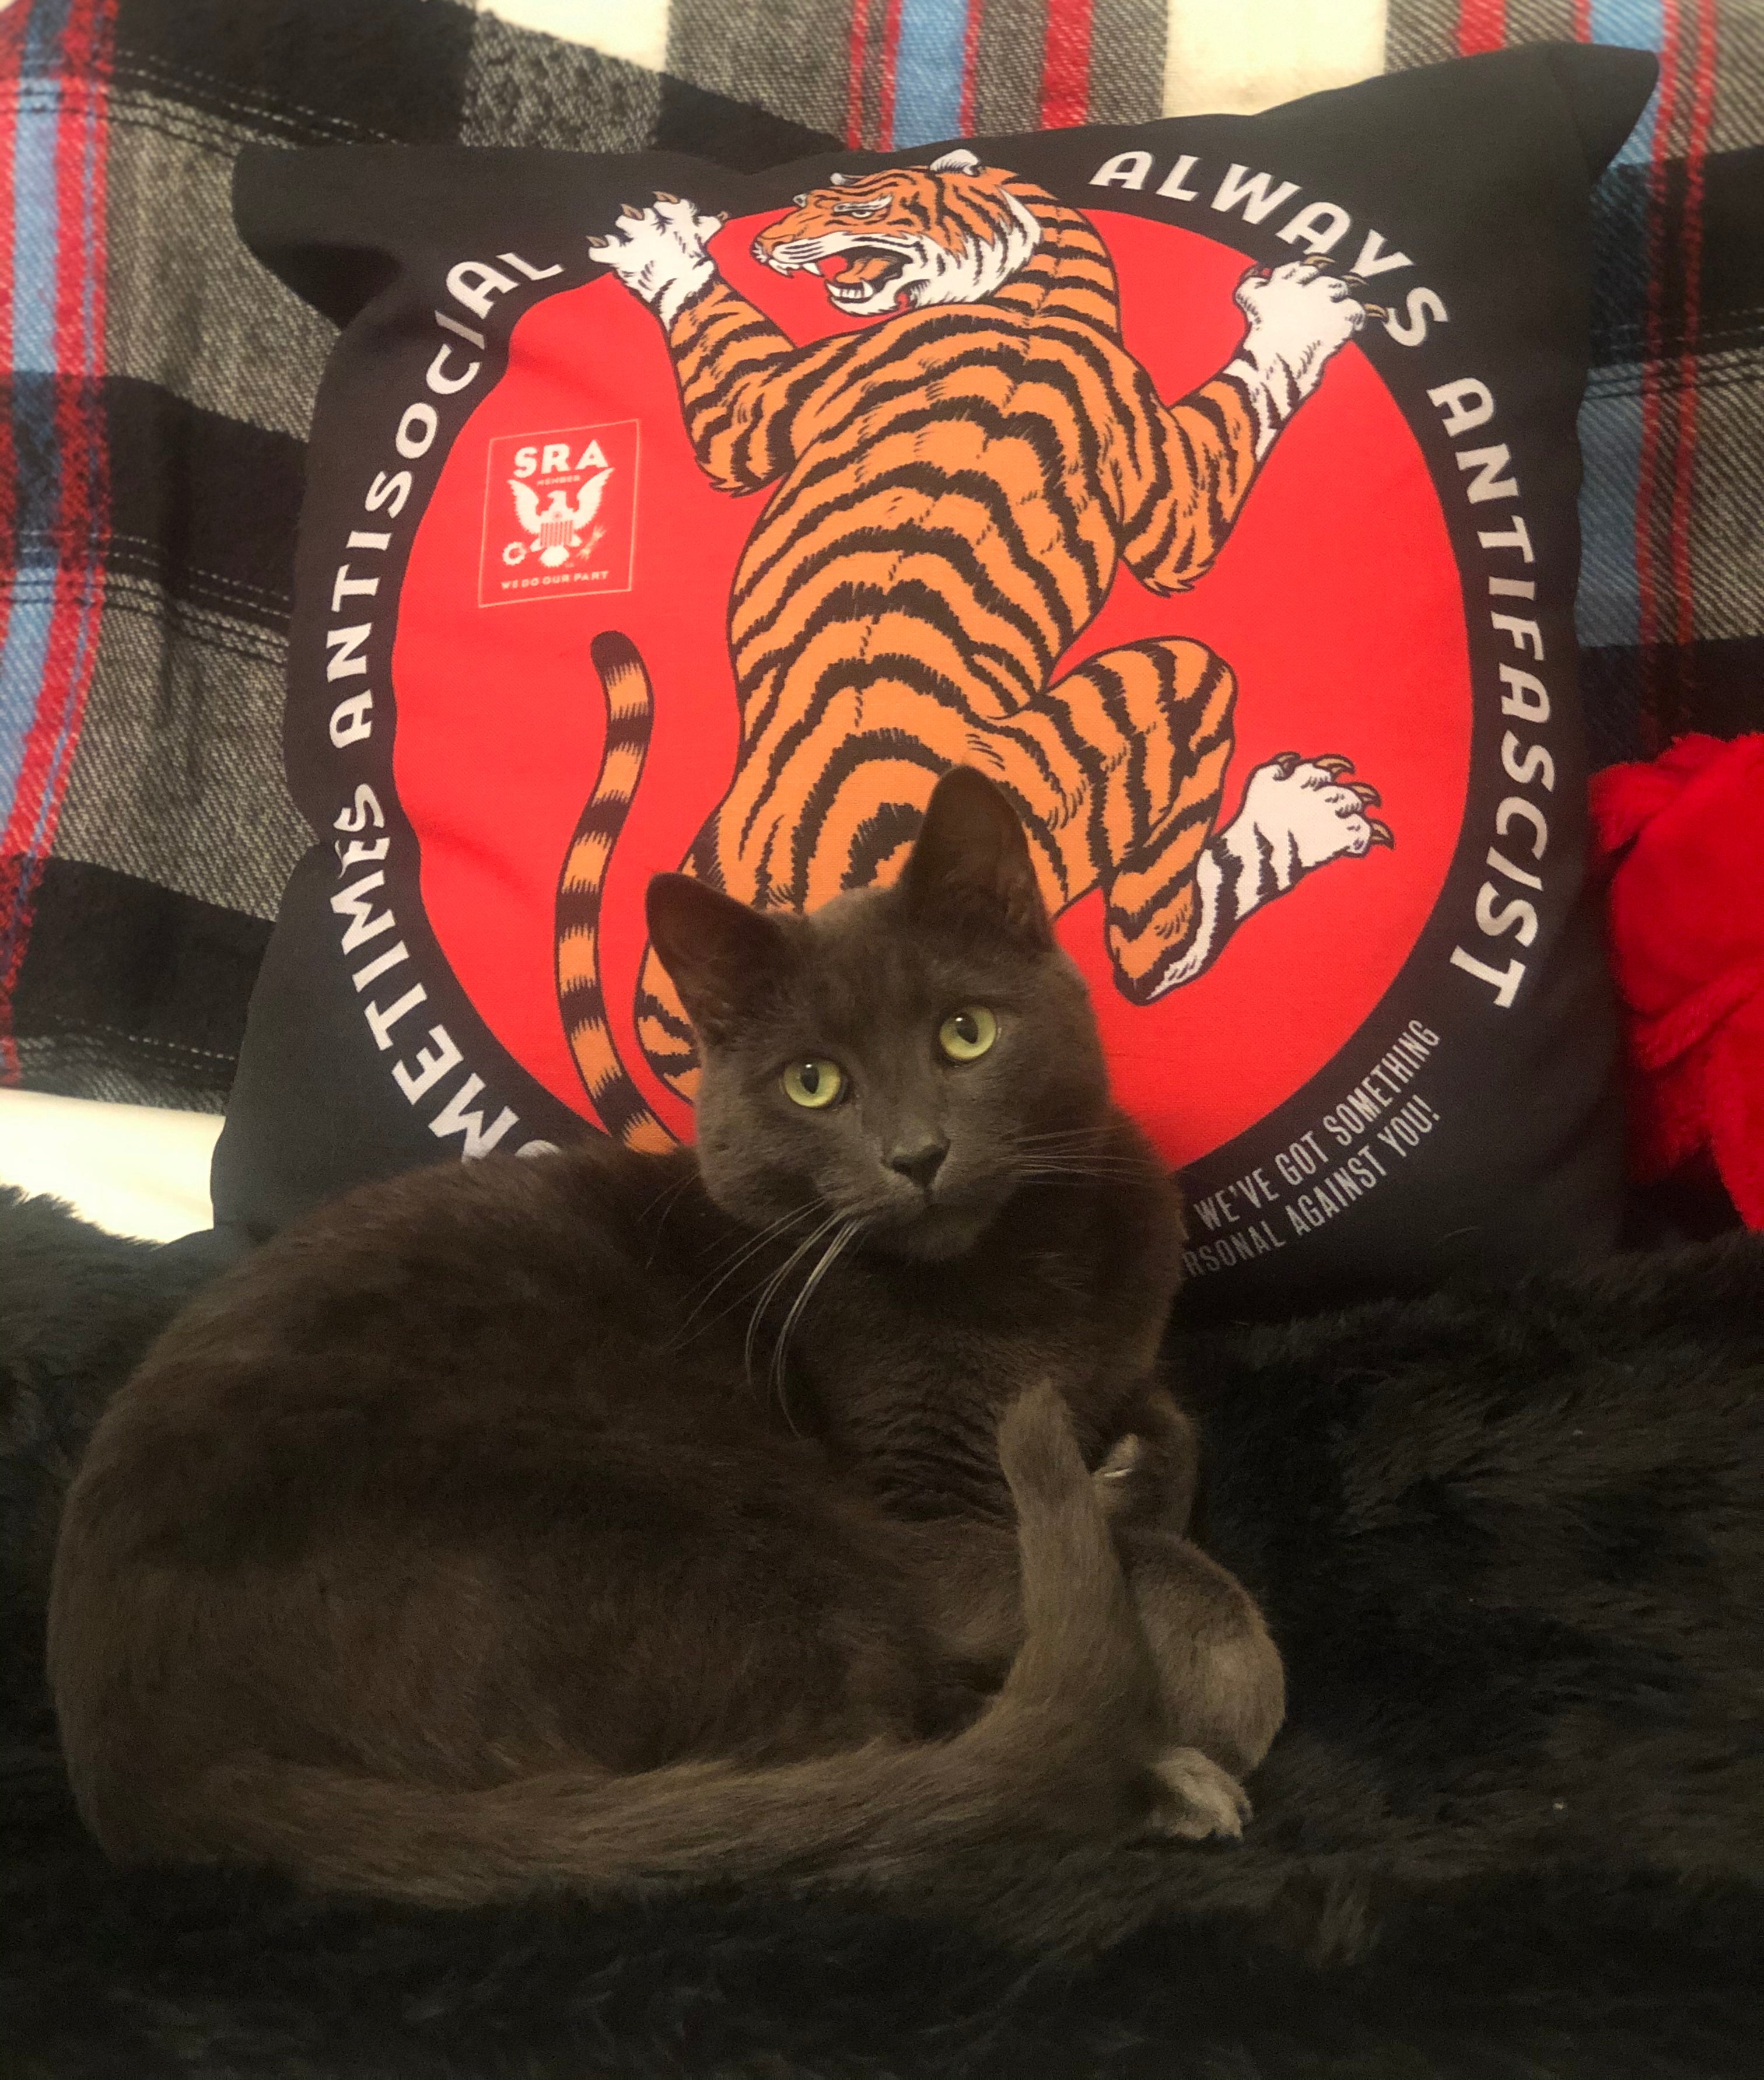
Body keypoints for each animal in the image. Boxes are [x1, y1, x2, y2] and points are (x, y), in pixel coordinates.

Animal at [557, 150, 1390, 1147]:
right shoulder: (1173, 496)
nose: (764, 242)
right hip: (1164, 693)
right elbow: (1246, 397)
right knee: (1148, 950)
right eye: (804, 195)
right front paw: (1302, 310)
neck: (1038, 284)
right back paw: (1304, 814)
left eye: (856, 197)